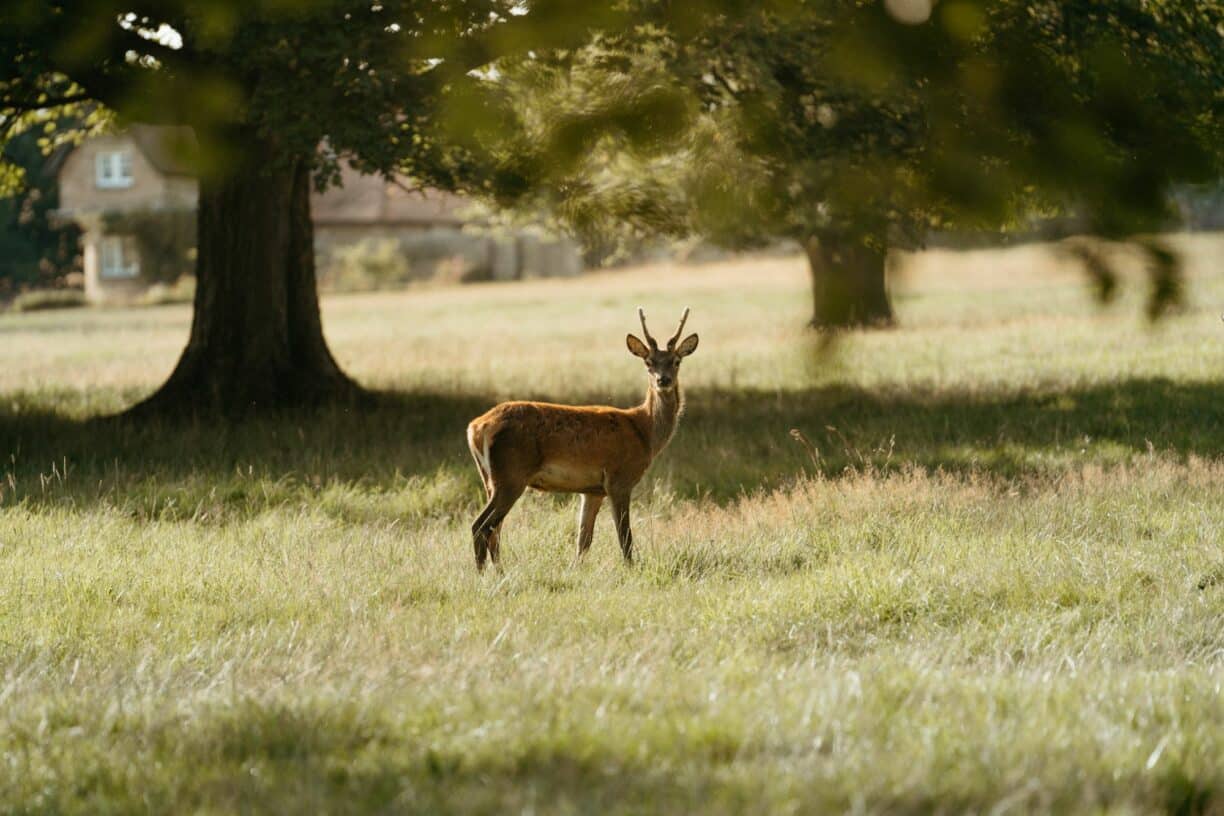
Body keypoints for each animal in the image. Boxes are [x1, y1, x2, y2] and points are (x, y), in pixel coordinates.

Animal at [465, 309, 700, 572]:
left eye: (676, 361)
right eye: (648, 363)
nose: (663, 380)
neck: (644, 431)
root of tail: (476, 427)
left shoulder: (592, 490)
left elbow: (583, 540)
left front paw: (574, 570)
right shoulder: (619, 479)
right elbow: (624, 537)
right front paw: (631, 569)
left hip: (489, 478)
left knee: (494, 529)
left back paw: (498, 571)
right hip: (511, 474)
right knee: (482, 526)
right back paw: (484, 573)